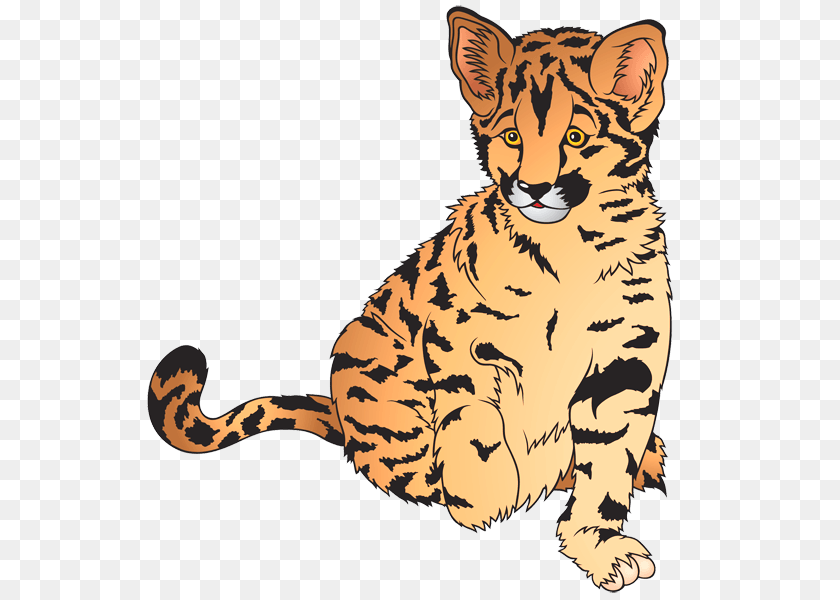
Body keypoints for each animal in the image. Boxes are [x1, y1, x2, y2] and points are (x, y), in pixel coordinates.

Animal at [148, 7, 670, 591]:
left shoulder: (626, 362)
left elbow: (607, 465)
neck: (569, 249)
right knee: (404, 467)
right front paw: (485, 499)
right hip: (365, 356)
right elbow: (474, 420)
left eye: (576, 136)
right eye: (512, 136)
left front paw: (598, 545)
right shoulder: (457, 337)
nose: (533, 188)